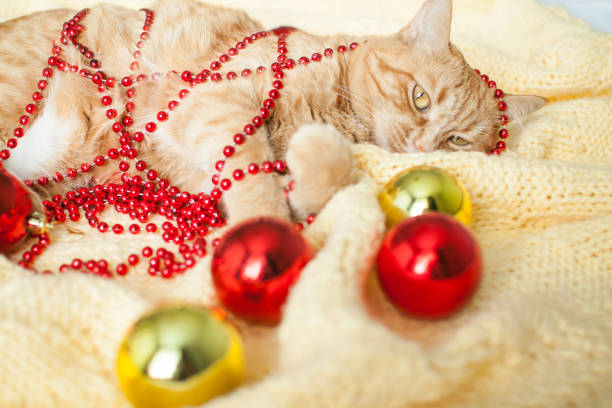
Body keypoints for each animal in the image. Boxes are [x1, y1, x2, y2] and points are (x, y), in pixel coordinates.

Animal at [0, 0, 544, 223]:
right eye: (420, 98)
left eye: (457, 142)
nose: (423, 146)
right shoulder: (215, 106)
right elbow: (253, 173)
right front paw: (263, 223)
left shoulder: (198, 179)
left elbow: (325, 183)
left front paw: (311, 166)